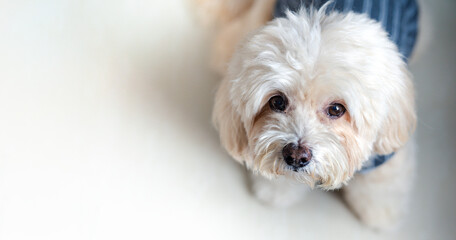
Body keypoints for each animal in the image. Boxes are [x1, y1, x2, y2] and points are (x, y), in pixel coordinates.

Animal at [201, 0, 418, 229]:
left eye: (336, 109)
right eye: (277, 101)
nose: (296, 156)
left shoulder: (387, 152)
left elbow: (383, 183)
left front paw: (381, 213)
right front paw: (276, 191)